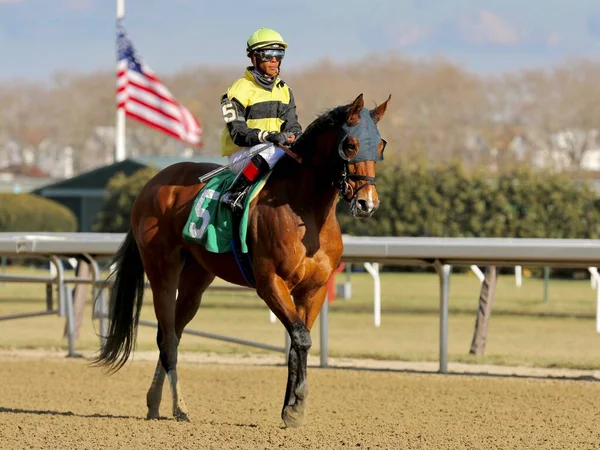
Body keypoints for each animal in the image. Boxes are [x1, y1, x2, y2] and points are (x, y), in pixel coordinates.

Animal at [91, 93, 392, 428]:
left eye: (380, 144)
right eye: (351, 144)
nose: (367, 203)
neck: (306, 212)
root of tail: (151, 184)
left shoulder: (312, 290)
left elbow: (298, 341)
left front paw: (292, 408)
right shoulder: (270, 282)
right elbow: (301, 338)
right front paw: (296, 405)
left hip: (196, 280)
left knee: (174, 333)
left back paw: (155, 403)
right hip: (162, 271)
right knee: (166, 338)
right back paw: (180, 407)